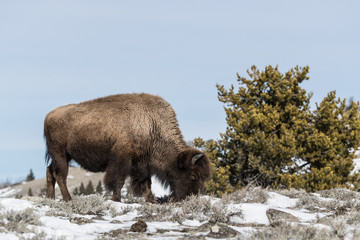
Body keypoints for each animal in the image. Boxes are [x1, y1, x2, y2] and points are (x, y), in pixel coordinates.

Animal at [43, 93, 211, 202]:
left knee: (50, 171)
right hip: (60, 154)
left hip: (62, 156)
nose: (192, 197)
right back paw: (68, 198)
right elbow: (119, 180)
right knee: (60, 174)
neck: (152, 124)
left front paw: (151, 199)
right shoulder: (122, 159)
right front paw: (116, 199)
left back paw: (50, 198)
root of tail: (48, 116)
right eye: (194, 175)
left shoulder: (143, 162)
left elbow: (146, 181)